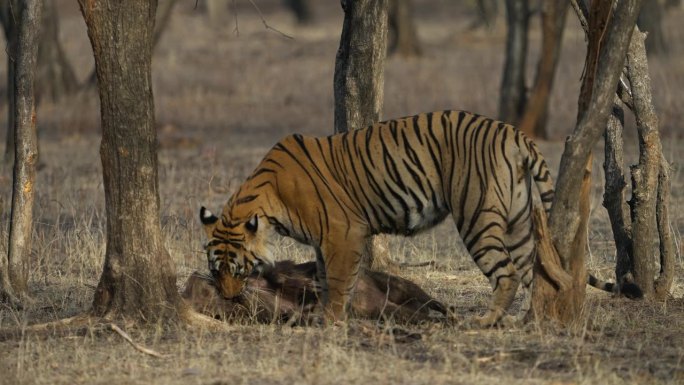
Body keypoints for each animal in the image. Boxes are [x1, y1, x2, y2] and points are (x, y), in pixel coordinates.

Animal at [200, 109, 640, 326]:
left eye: (238, 269)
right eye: (215, 269)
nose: (227, 297)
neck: (263, 202)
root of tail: (511, 132)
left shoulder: (342, 233)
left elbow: (339, 280)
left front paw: (330, 319)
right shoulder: (327, 242)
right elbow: (326, 278)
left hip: (477, 217)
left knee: (508, 273)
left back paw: (486, 321)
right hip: (517, 219)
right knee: (531, 270)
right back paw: (527, 319)